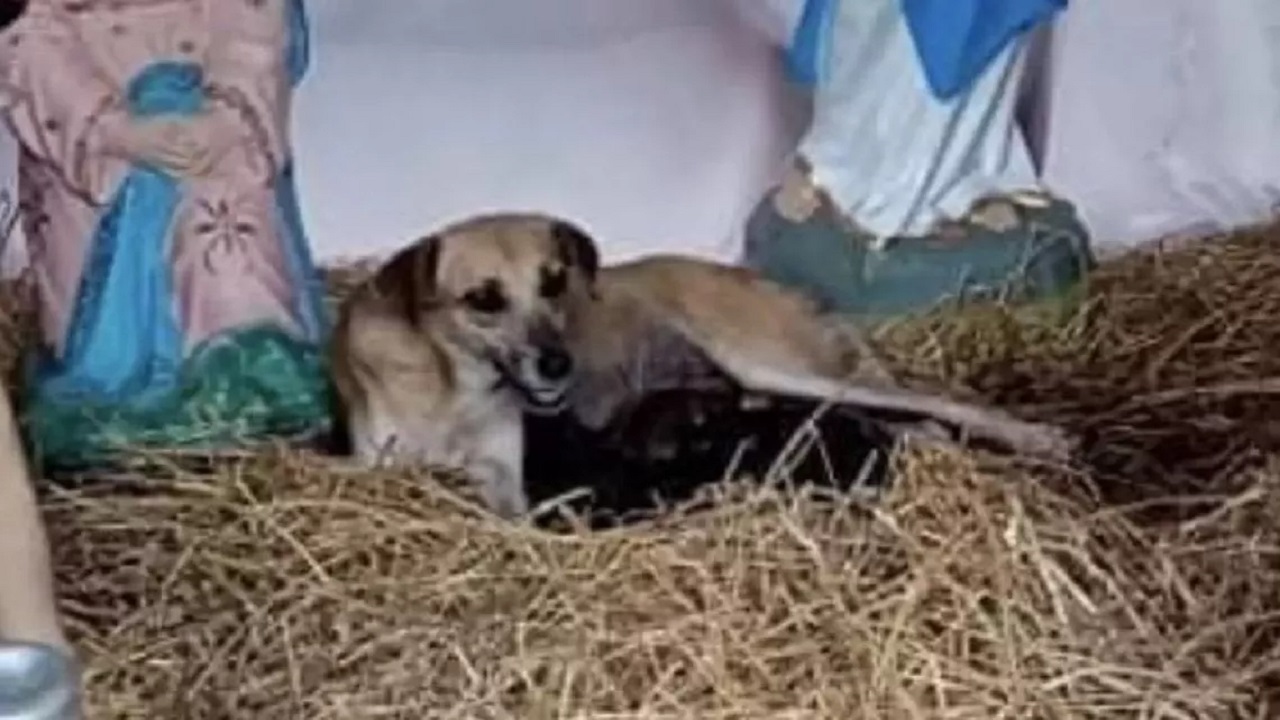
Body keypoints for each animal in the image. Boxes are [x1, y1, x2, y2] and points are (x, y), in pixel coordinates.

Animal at [330, 211, 1070, 515]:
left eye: (554, 282)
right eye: (483, 299)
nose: (559, 365)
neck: (451, 385)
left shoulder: (508, 479)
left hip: (776, 365)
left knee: (939, 403)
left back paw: (1038, 437)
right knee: (912, 421)